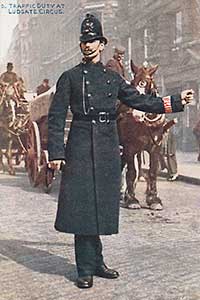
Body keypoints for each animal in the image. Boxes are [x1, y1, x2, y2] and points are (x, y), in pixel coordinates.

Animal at [118, 60, 176, 211]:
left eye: (145, 83)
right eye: (132, 83)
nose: (136, 114)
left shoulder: (155, 147)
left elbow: (152, 172)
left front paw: (153, 199)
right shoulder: (130, 147)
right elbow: (132, 172)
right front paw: (132, 200)